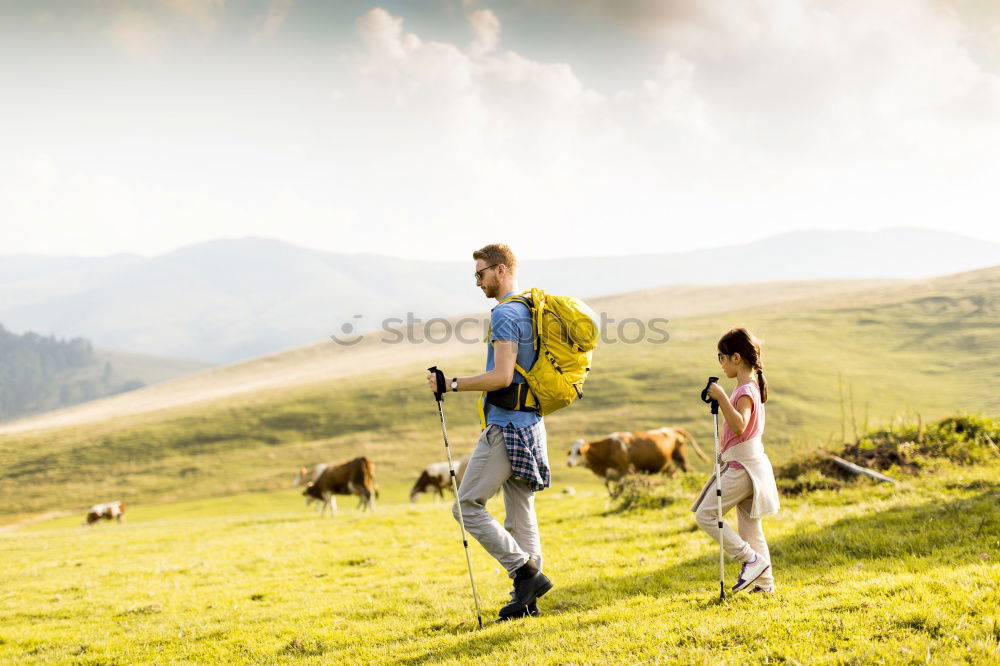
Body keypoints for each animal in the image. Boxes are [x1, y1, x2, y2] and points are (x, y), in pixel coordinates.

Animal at [564, 426, 712, 492]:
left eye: (578, 452)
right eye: (570, 452)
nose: (568, 463)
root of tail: (673, 429)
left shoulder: (623, 470)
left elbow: (621, 487)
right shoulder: (611, 473)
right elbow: (607, 485)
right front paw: (612, 495)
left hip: (681, 459)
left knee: (689, 471)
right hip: (669, 466)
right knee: (673, 477)